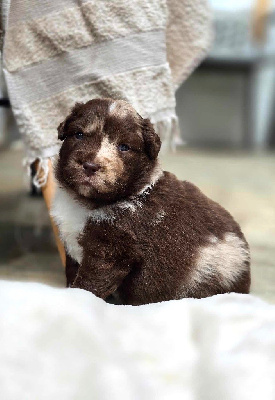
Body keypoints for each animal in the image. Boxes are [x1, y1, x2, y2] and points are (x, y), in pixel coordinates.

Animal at [50, 98, 251, 304]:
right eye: (79, 134)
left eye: (124, 147)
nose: (90, 166)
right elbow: (72, 272)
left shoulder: (112, 251)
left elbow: (89, 284)